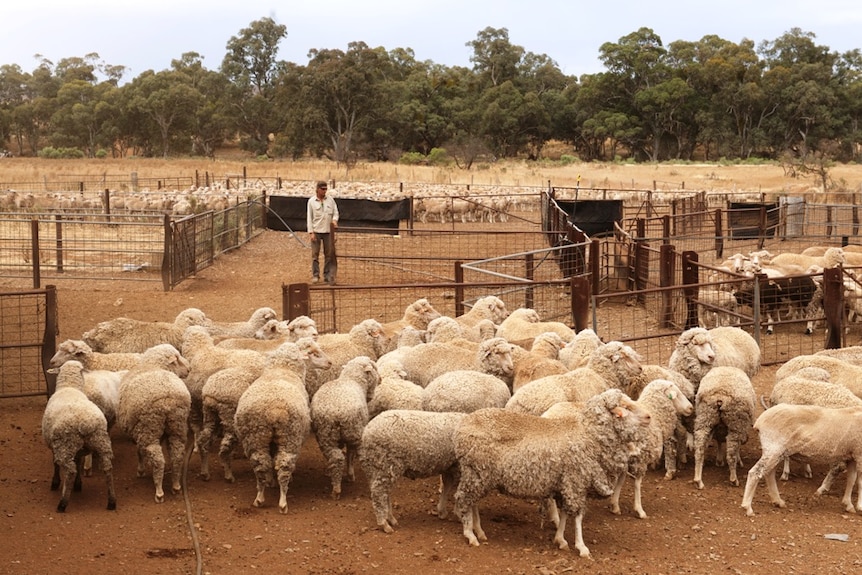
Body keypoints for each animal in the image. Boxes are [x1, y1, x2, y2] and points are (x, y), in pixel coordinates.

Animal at [42, 362, 115, 516]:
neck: (69, 387)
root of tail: (85, 423)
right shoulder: (80, 449)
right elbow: (79, 460)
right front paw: (78, 484)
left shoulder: (54, 445)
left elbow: (55, 463)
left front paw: (55, 482)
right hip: (101, 441)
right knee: (107, 468)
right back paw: (112, 501)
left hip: (66, 445)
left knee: (70, 471)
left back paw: (62, 503)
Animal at [116, 344, 191, 502]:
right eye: (177, 359)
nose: (189, 368)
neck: (153, 365)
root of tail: (168, 398)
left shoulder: (137, 430)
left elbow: (139, 451)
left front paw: (140, 470)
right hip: (177, 425)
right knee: (177, 455)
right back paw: (176, 485)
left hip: (149, 429)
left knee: (158, 459)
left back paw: (159, 491)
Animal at [308, 356, 380, 500]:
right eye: (374, 368)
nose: (380, 379)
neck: (352, 379)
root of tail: (336, 413)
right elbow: (350, 455)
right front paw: (350, 475)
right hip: (354, 432)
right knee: (355, 456)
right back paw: (348, 479)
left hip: (326, 435)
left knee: (336, 458)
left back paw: (335, 487)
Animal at [452, 390, 648, 556]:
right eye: (627, 407)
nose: (649, 416)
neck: (587, 434)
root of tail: (461, 428)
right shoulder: (575, 480)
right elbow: (577, 516)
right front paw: (581, 546)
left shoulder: (564, 482)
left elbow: (565, 514)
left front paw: (560, 539)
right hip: (476, 471)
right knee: (464, 499)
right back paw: (470, 534)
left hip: (479, 474)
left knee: (472, 502)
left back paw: (479, 530)